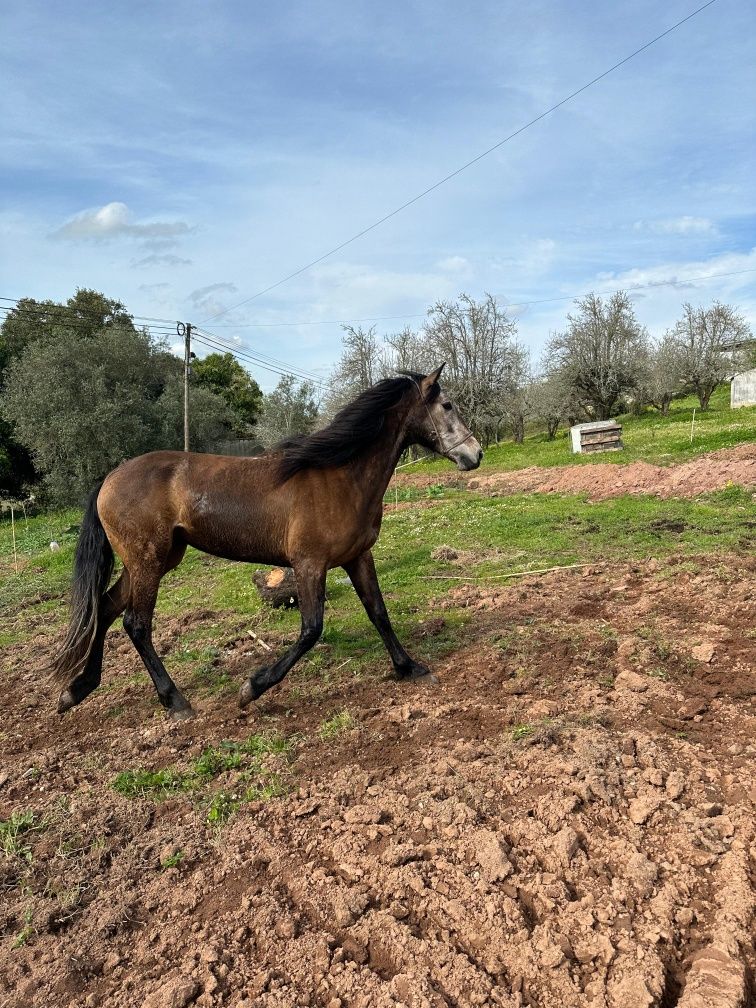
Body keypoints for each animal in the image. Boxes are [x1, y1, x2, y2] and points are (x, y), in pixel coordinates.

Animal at [53, 366, 481, 721]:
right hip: (148, 563)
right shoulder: (309, 564)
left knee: (105, 608)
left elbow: (379, 612)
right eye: (447, 405)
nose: (475, 453)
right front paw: (251, 689)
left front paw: (410, 668)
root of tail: (110, 478)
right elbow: (311, 630)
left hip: (155, 560)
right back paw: (175, 702)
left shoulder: (358, 557)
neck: (341, 476)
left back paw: (77, 690)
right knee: (136, 624)